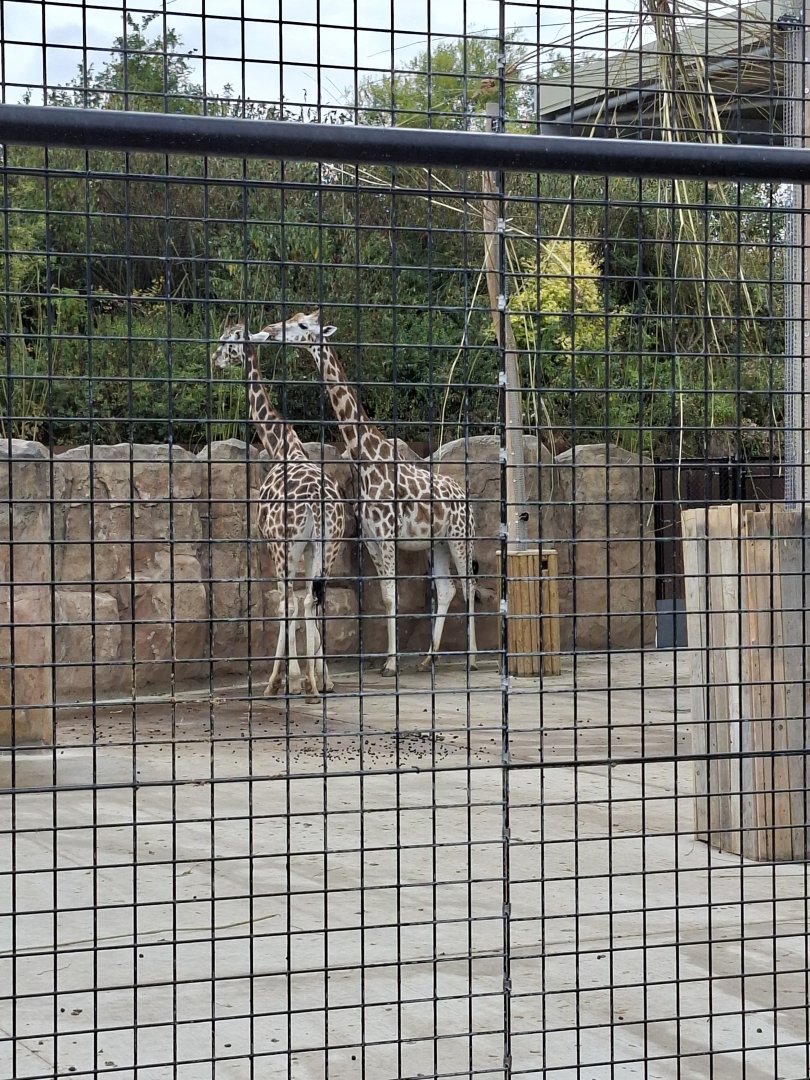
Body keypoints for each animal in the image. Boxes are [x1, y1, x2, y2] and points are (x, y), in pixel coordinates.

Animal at [212, 323, 347, 698]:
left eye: (227, 341)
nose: (214, 359)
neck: (283, 447)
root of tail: (316, 502)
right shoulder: (312, 547)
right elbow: (309, 602)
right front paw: (319, 676)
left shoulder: (272, 542)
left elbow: (284, 603)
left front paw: (285, 679)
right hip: (329, 545)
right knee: (316, 599)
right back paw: (318, 680)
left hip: (289, 545)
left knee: (293, 600)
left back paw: (299, 682)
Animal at [263, 311, 478, 676]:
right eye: (293, 318)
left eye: (303, 326)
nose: (271, 330)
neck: (367, 461)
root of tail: (467, 499)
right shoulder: (372, 539)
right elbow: (387, 595)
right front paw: (390, 660)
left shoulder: (389, 534)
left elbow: (392, 594)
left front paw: (391, 663)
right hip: (438, 542)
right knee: (448, 588)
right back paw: (428, 657)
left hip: (462, 537)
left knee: (470, 584)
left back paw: (474, 658)